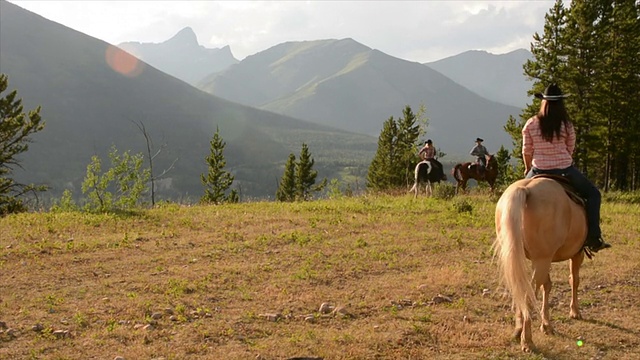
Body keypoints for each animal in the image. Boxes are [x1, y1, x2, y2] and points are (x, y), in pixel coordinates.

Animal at [492, 176, 588, 352]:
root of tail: (525, 189)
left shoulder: (545, 259)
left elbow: (547, 285)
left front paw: (546, 324)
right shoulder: (577, 253)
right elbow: (574, 280)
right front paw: (575, 312)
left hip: (530, 258)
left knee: (520, 290)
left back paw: (519, 330)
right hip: (543, 260)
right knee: (528, 296)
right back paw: (527, 341)